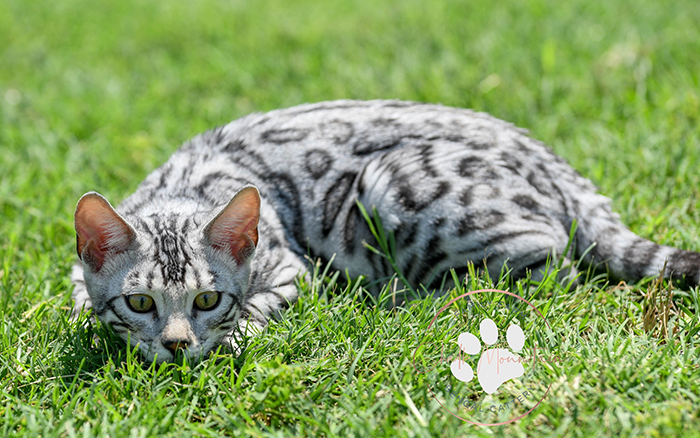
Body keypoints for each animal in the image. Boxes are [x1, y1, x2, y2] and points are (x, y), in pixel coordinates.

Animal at [72, 99, 700, 362]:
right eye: (140, 302)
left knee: (553, 270)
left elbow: (253, 312)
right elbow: (81, 304)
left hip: (395, 183)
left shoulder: (291, 271)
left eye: (207, 299)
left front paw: (230, 337)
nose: (177, 345)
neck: (184, 188)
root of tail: (551, 159)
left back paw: (408, 302)